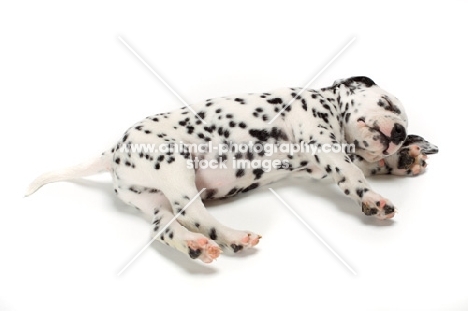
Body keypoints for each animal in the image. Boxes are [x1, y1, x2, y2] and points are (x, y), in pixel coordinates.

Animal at [26, 76, 438, 264]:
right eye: (387, 104)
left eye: (403, 127)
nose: (399, 134)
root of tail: (112, 151)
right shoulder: (324, 146)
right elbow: (355, 176)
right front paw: (375, 199)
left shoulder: (322, 163)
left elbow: (369, 162)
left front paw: (405, 158)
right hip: (174, 165)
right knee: (195, 215)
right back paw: (233, 237)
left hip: (154, 202)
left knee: (167, 229)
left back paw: (200, 246)